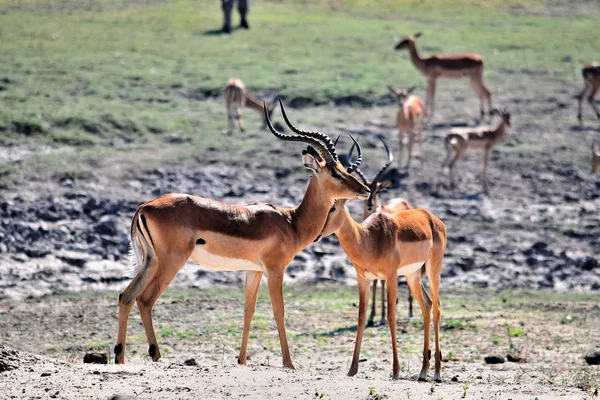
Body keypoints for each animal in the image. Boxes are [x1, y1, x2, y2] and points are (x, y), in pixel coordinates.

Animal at [113, 98, 370, 368]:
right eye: (335, 172)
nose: (364, 190)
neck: (292, 222)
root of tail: (145, 206)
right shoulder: (275, 269)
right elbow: (279, 311)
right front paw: (289, 364)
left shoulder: (253, 271)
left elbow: (248, 311)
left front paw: (242, 361)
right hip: (170, 262)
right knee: (145, 300)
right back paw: (155, 355)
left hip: (151, 262)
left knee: (126, 296)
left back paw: (120, 357)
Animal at [318, 193, 446, 382]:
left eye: (333, 208)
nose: (317, 234)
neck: (368, 238)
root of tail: (432, 218)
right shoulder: (363, 280)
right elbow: (361, 318)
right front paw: (352, 369)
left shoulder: (391, 277)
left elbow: (391, 317)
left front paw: (396, 371)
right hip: (412, 276)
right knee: (427, 305)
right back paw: (423, 372)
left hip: (433, 270)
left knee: (436, 308)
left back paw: (437, 373)